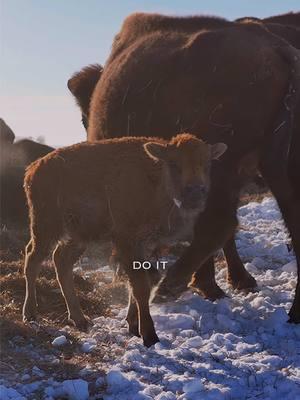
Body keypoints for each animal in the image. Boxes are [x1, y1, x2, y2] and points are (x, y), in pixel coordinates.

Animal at [22, 133, 226, 346]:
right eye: (173, 163)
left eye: (207, 164)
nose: (195, 193)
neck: (155, 181)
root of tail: (33, 168)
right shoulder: (128, 241)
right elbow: (140, 286)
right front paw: (149, 335)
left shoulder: (148, 246)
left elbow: (144, 281)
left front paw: (133, 325)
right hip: (46, 228)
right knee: (32, 258)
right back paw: (30, 314)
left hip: (78, 237)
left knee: (61, 261)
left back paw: (80, 320)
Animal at [67, 12, 300, 324]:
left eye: (84, 118)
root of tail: (278, 49)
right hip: (279, 171)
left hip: (224, 170)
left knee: (219, 224)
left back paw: (169, 287)